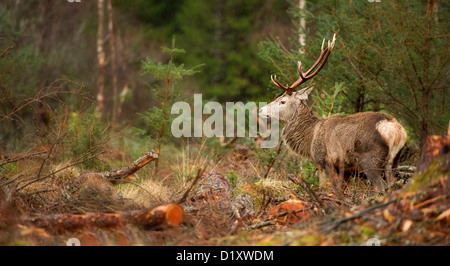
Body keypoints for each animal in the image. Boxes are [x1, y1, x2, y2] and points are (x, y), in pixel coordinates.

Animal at [256, 34, 408, 196]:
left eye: (282, 101)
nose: (261, 110)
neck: (311, 138)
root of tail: (396, 130)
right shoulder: (347, 170)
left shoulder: (326, 160)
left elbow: (334, 191)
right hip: (394, 161)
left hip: (370, 158)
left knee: (380, 187)